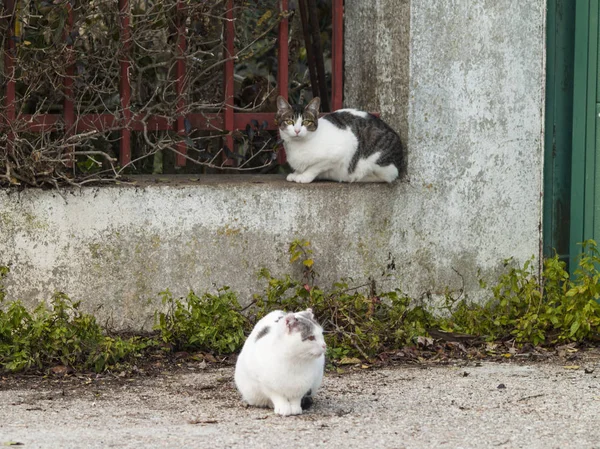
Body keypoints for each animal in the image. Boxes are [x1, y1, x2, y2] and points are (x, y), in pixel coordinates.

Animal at [276, 95, 404, 183]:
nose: (297, 130)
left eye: (306, 122)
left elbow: (314, 167)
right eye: (289, 122)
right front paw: (296, 173)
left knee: (385, 176)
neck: (297, 146)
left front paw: (304, 176)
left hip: (377, 161)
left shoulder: (340, 151)